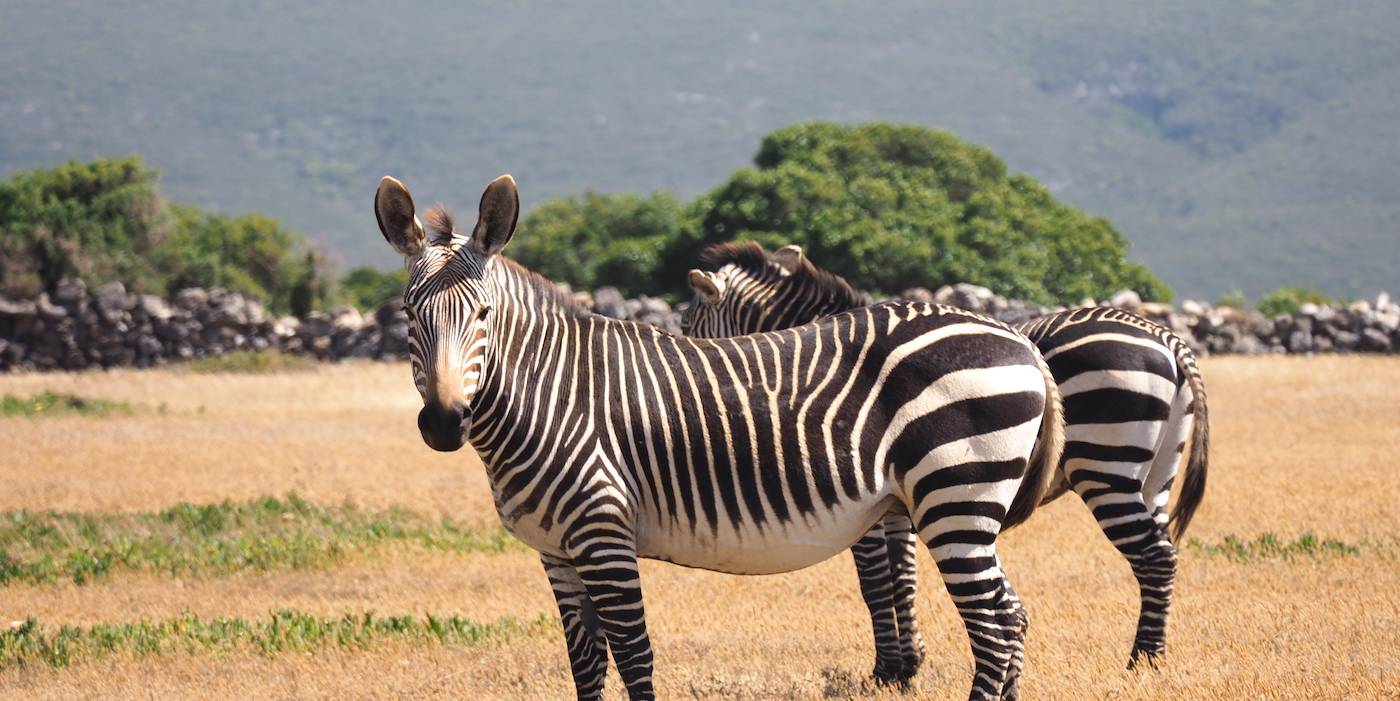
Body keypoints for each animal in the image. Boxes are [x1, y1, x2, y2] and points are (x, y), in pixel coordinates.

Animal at [375, 175, 1066, 701]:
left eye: (484, 315)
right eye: (409, 315)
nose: (444, 422)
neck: (553, 393)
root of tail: (1015, 337)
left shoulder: (603, 532)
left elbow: (634, 655)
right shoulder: (558, 551)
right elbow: (586, 665)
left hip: (955, 496)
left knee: (994, 626)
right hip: (958, 506)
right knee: (1011, 614)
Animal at [681, 241, 1209, 673]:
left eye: (685, 326)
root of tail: (1164, 336)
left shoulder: (869, 507)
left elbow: (876, 584)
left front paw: (888, 670)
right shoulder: (897, 504)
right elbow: (903, 579)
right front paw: (910, 662)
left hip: (1106, 465)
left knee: (1154, 557)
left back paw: (1141, 661)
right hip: (1156, 475)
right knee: (1165, 553)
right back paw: (1154, 655)